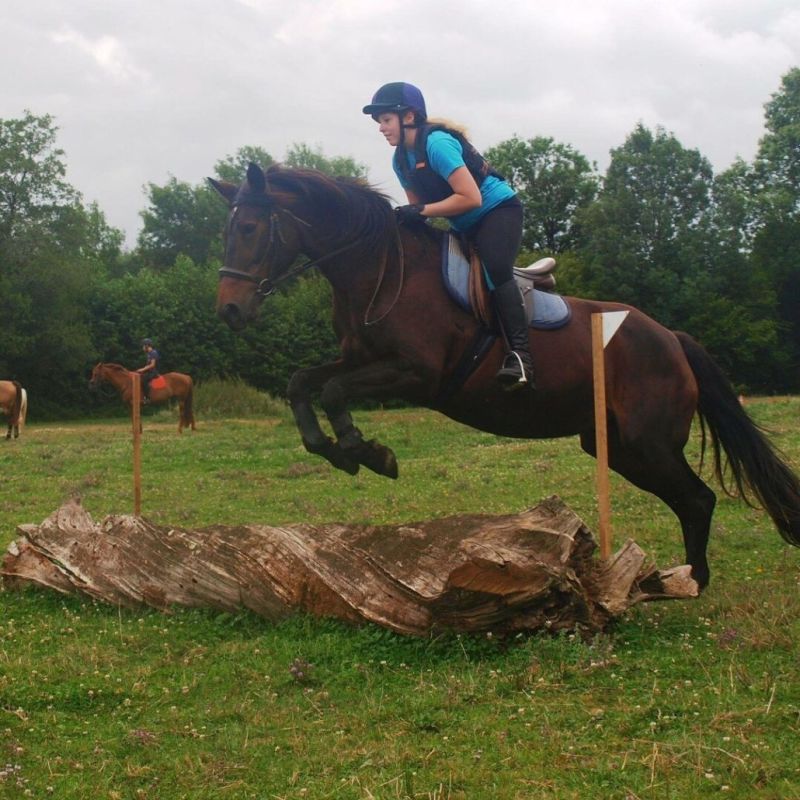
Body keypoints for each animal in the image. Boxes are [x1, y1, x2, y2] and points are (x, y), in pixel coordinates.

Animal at [210, 163, 800, 589]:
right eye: (228, 230)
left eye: (250, 228)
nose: (230, 311)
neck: (379, 270)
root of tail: (672, 339)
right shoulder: (359, 360)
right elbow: (302, 383)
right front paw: (334, 450)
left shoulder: (416, 375)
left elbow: (332, 390)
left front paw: (368, 453)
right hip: (613, 445)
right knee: (689, 500)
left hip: (646, 442)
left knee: (698, 500)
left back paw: (690, 582)